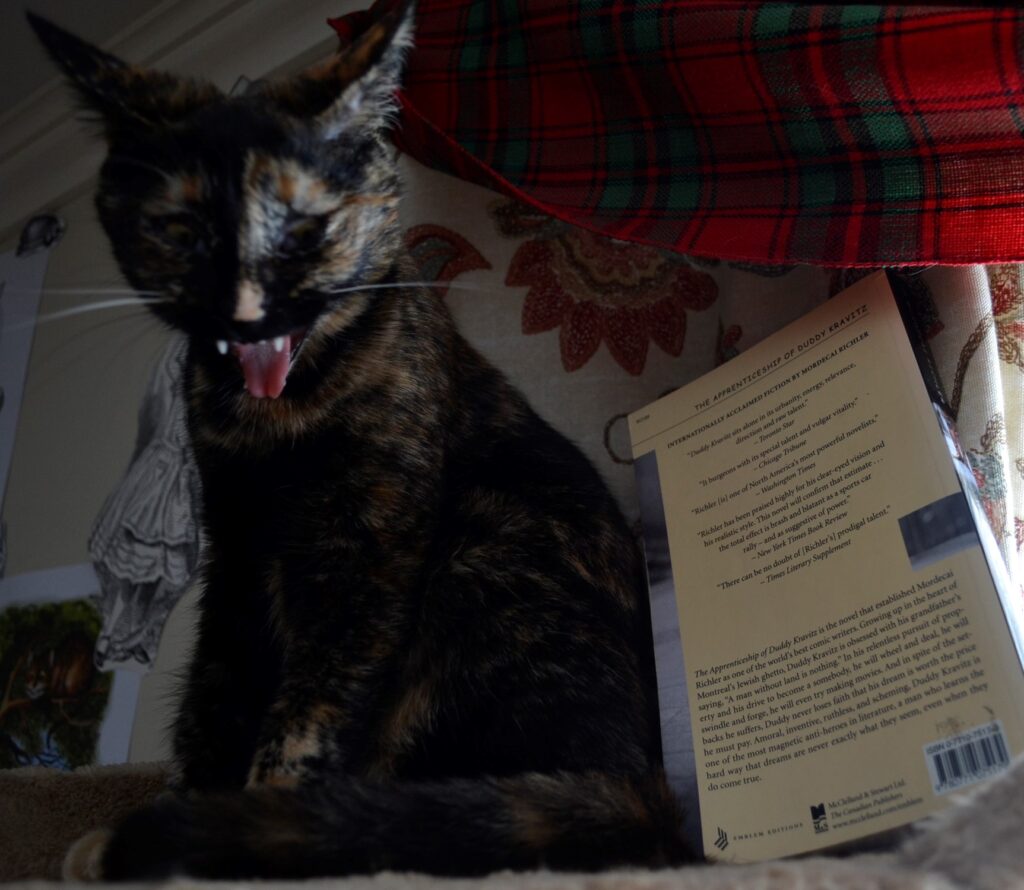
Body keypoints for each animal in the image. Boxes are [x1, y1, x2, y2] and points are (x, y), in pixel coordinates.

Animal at [34, 3, 688, 876]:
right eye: (181, 230)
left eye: (306, 228)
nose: (247, 311)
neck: (273, 421)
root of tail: (649, 783)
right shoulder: (236, 554)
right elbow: (216, 693)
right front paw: (191, 811)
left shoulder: (368, 551)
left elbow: (311, 709)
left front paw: (243, 825)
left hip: (486, 545)